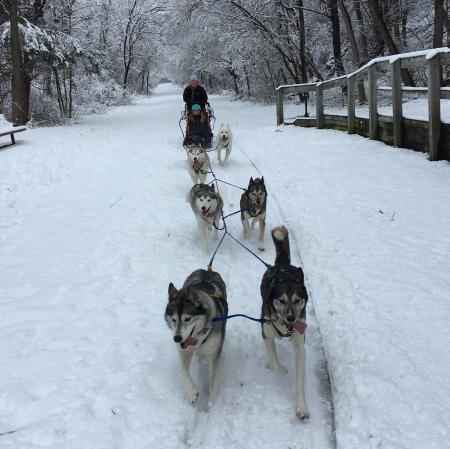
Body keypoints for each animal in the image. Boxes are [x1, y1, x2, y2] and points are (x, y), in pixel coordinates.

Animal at [165, 268, 229, 404]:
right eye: (173, 320)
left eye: (187, 319)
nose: (177, 338)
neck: (197, 340)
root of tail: (207, 270)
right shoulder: (184, 351)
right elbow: (183, 371)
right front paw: (192, 393)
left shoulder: (214, 353)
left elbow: (214, 378)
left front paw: (212, 401)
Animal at [260, 228, 310, 420]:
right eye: (281, 301)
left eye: (297, 300)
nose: (291, 318)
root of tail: (282, 266)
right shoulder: (266, 335)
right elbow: (275, 362)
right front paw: (280, 370)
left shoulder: (300, 347)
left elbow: (300, 380)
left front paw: (301, 407)